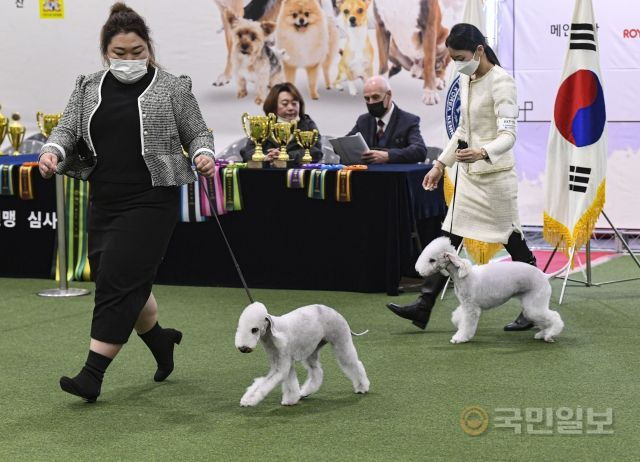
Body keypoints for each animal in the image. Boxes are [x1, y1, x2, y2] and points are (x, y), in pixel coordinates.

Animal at [234, 302, 370, 406]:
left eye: (254, 329)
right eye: (239, 327)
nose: (243, 348)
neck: (274, 334)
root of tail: (335, 312)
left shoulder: (281, 366)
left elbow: (264, 385)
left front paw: (249, 400)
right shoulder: (281, 363)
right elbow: (288, 383)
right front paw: (291, 399)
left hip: (342, 343)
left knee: (354, 364)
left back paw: (362, 387)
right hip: (312, 350)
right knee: (316, 371)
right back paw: (305, 392)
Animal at [416, 238, 564, 342]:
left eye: (432, 260)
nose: (418, 271)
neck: (462, 275)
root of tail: (545, 276)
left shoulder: (471, 308)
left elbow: (467, 324)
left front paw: (460, 338)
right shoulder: (465, 305)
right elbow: (459, 317)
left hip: (535, 305)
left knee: (555, 317)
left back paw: (550, 335)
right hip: (531, 305)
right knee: (545, 320)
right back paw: (543, 334)